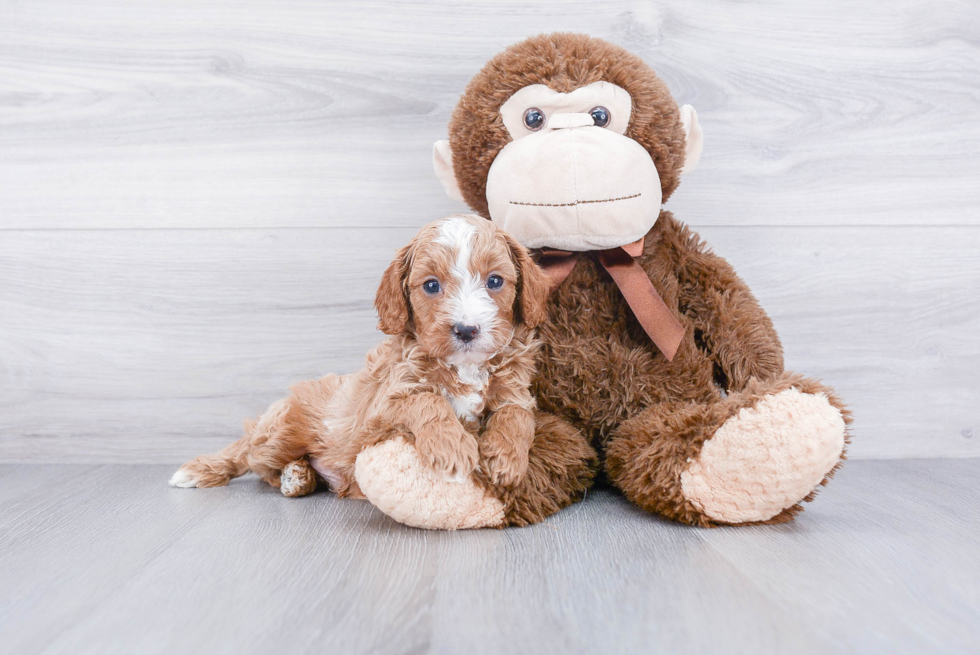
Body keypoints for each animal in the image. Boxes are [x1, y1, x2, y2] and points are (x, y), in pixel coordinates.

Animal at [168, 213, 552, 500]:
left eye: (495, 281)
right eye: (431, 285)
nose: (467, 330)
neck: (467, 366)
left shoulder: (515, 390)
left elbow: (517, 417)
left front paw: (507, 459)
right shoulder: (382, 409)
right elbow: (427, 400)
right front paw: (452, 447)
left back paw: (299, 476)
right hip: (280, 433)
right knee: (250, 452)